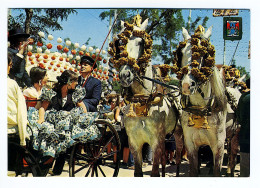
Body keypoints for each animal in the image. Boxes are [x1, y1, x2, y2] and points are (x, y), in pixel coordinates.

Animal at [111, 17, 181, 176]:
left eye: (140, 42)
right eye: (121, 43)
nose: (125, 75)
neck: (142, 100)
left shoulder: (156, 141)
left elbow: (154, 172)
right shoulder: (134, 142)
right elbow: (138, 171)